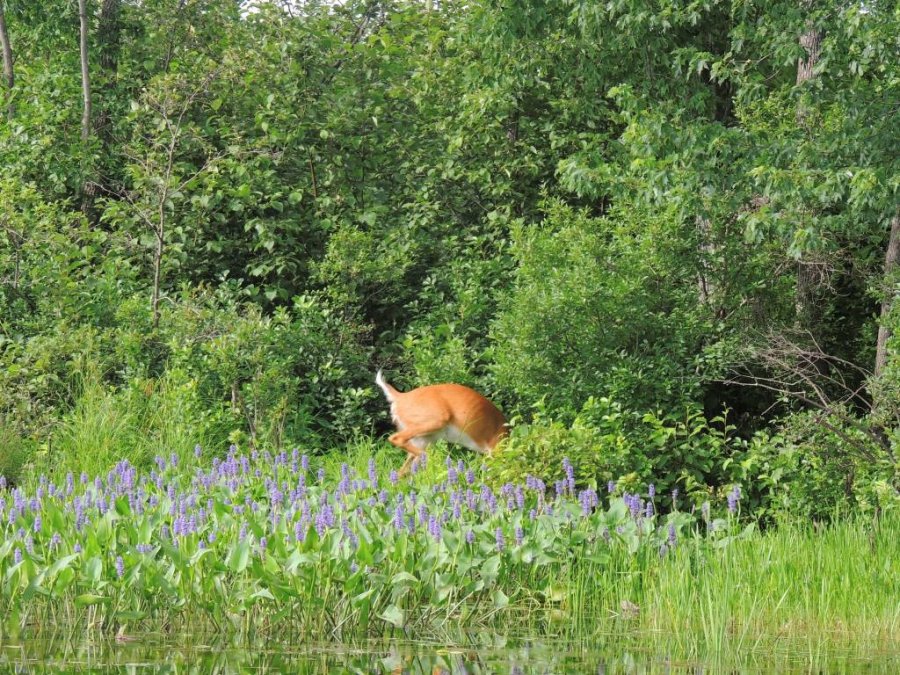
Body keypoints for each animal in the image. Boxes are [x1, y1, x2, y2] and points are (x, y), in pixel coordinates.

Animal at [375, 370, 507, 477]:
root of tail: (399, 397)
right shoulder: (495, 450)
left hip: (422, 440)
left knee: (400, 473)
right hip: (436, 420)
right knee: (396, 438)